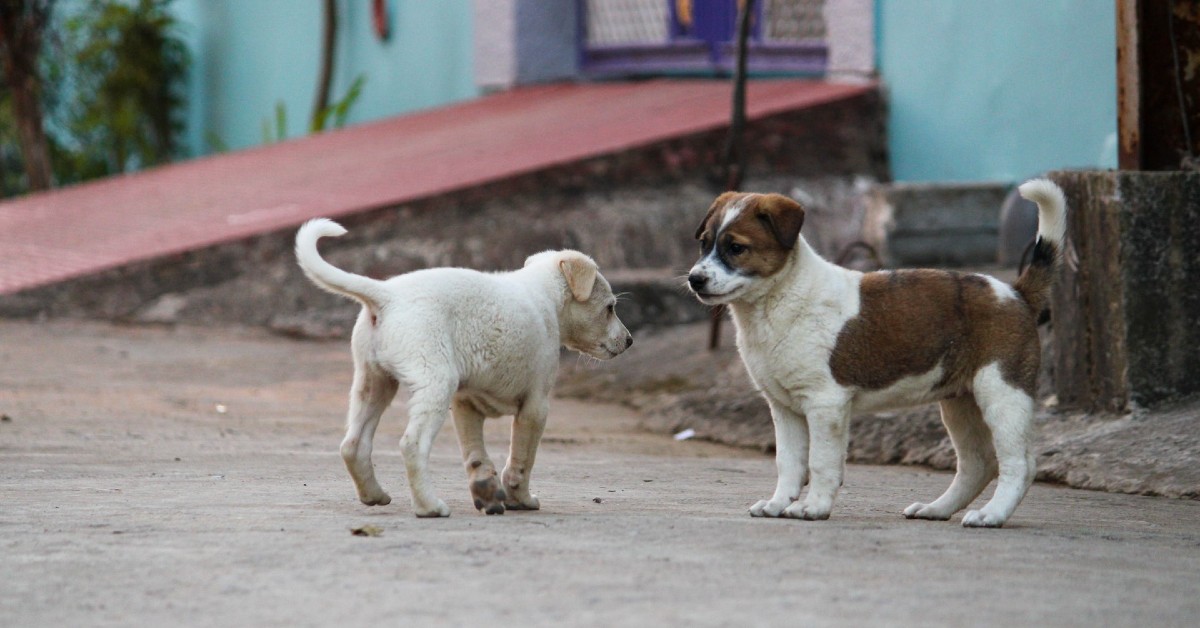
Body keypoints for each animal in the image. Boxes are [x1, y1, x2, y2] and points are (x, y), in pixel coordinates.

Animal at [295, 218, 633, 518]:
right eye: (610, 308)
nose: (629, 341)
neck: (544, 294)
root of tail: (388, 296)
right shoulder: (536, 407)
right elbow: (521, 459)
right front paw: (520, 499)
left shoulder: (465, 403)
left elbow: (475, 455)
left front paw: (487, 491)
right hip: (434, 382)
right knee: (412, 445)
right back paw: (429, 507)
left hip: (374, 383)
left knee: (353, 444)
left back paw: (374, 495)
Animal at [691, 178, 1065, 528]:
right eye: (704, 243)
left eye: (736, 248)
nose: (695, 279)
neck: (776, 299)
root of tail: (1015, 292)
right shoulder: (784, 408)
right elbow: (789, 462)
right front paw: (778, 503)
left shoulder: (825, 403)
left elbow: (820, 462)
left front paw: (813, 507)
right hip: (961, 402)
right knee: (978, 463)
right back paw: (937, 509)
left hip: (1002, 392)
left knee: (1019, 463)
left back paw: (992, 514)